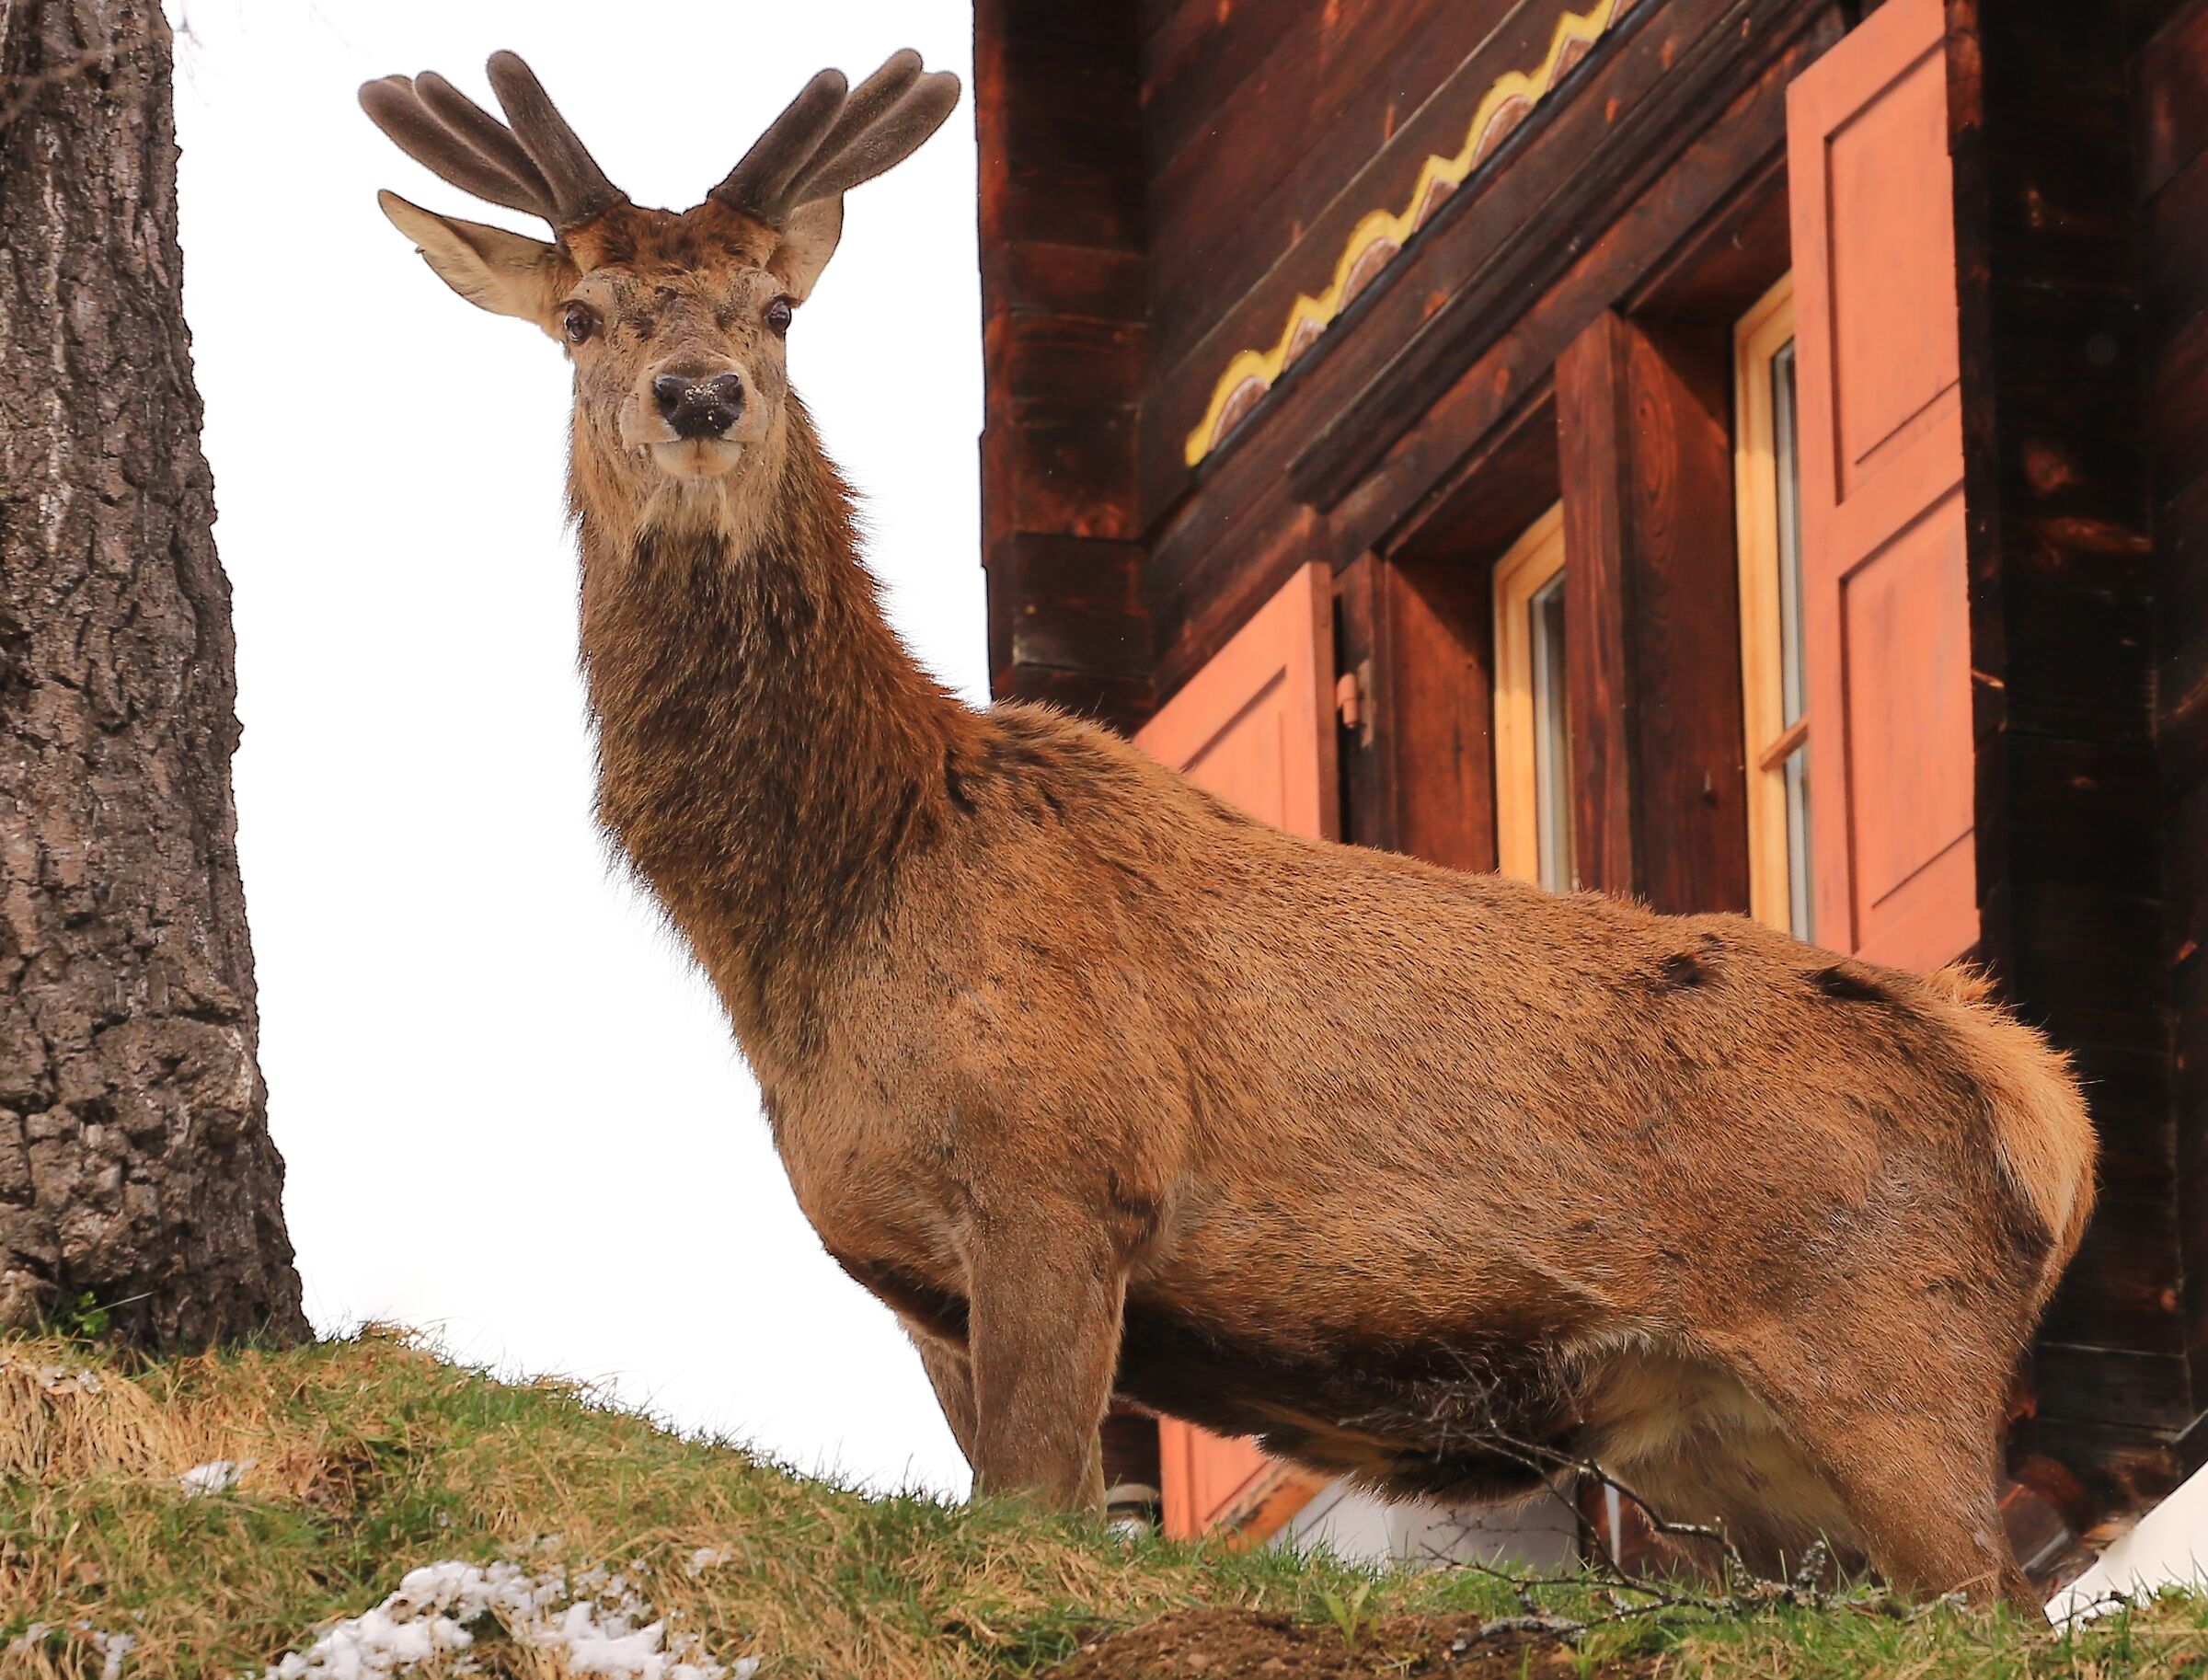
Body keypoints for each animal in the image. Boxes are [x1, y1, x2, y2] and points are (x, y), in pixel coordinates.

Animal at [359, 50, 2095, 1610]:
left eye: (776, 306)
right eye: (581, 316)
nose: (701, 396)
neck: (839, 909)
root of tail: (2039, 1105)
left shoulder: (1064, 1170)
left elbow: (1035, 1509)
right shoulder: (912, 1272)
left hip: (1891, 1340)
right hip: (1735, 1451)